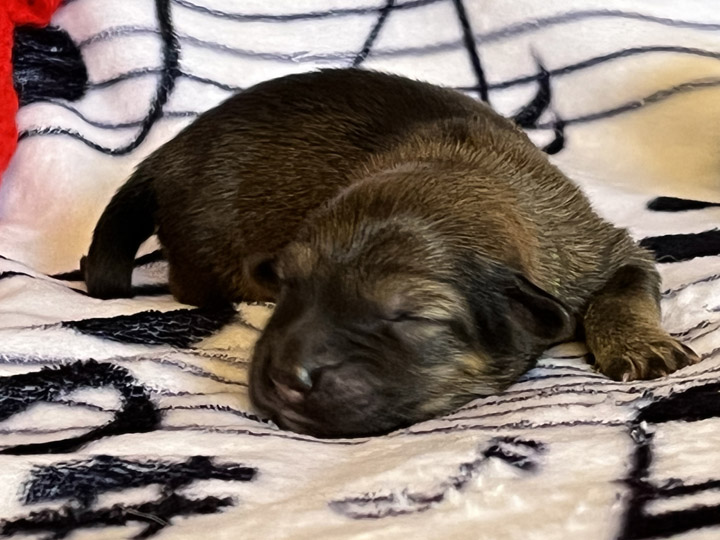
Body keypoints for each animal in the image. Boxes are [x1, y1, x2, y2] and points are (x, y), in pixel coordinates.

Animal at [83, 67, 696, 438]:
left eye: (410, 317)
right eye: (288, 285)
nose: (284, 378)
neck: (467, 171)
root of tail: (163, 156)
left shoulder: (601, 248)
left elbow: (623, 289)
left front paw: (642, 345)